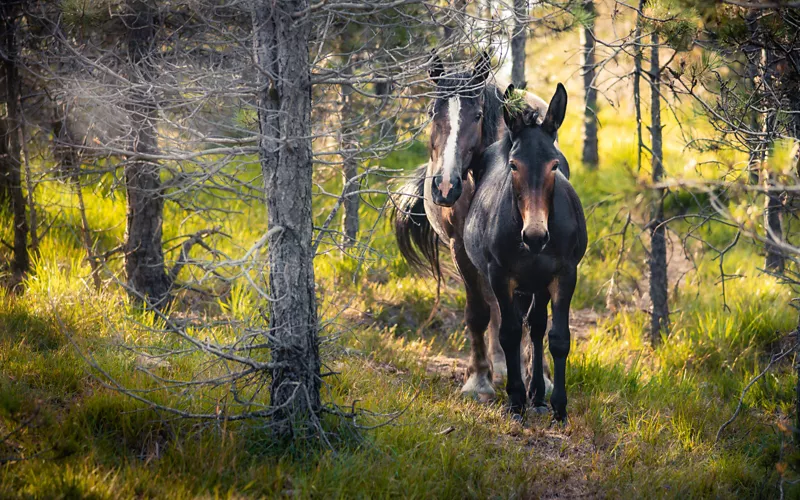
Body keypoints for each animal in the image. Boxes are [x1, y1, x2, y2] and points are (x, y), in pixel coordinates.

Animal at [462, 84, 588, 420]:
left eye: (555, 165)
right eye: (513, 165)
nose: (534, 236)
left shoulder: (565, 274)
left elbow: (558, 338)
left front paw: (558, 406)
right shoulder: (499, 275)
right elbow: (508, 333)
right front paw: (516, 400)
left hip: (538, 283)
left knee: (536, 325)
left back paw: (539, 396)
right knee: (520, 325)